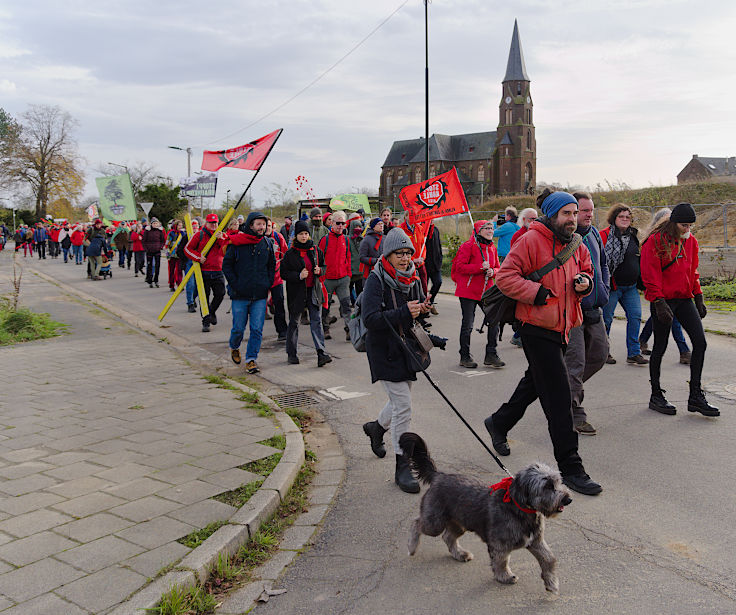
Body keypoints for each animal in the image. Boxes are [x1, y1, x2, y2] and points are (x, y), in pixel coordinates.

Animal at [400, 430, 572, 596]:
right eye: (547, 486)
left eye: (558, 481)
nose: (568, 499)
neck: (519, 509)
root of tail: (439, 476)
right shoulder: (499, 545)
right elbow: (501, 561)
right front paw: (504, 576)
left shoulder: (536, 541)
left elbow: (549, 559)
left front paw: (551, 583)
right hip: (434, 523)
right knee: (416, 523)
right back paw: (411, 546)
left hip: (458, 523)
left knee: (448, 537)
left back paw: (460, 554)